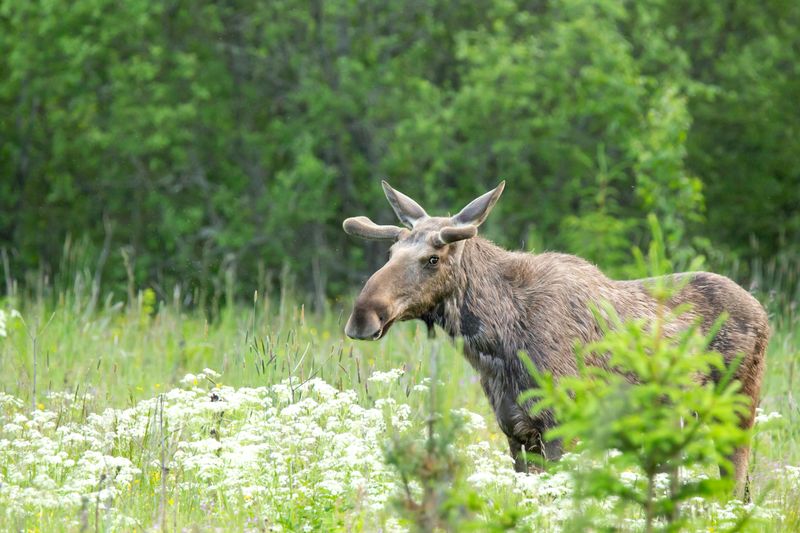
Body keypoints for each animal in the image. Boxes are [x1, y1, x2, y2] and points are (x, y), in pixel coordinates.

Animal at [342, 181, 769, 497]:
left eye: (433, 259)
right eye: (391, 252)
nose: (362, 316)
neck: (493, 344)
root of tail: (764, 312)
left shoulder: (562, 426)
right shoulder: (515, 431)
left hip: (736, 408)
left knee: (736, 483)